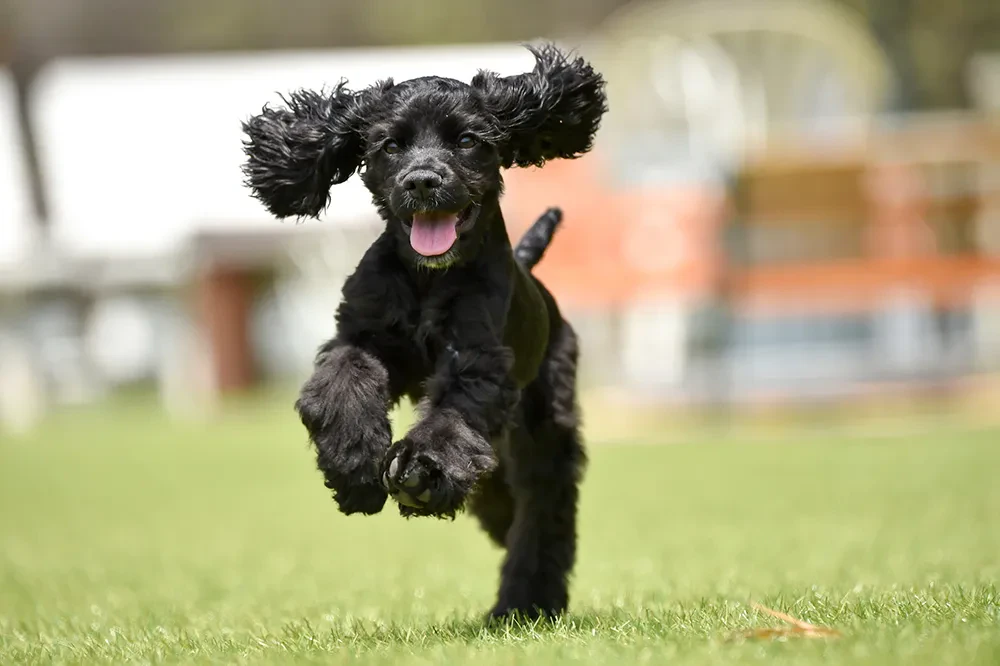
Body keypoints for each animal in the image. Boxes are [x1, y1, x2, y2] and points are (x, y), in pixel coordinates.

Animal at [240, 45, 608, 616]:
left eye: (467, 140)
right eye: (391, 145)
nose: (421, 181)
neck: (427, 280)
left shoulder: (476, 364)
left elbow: (450, 423)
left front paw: (421, 471)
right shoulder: (360, 336)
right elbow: (343, 384)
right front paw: (353, 463)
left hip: (545, 421)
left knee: (545, 506)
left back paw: (525, 603)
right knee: (502, 497)